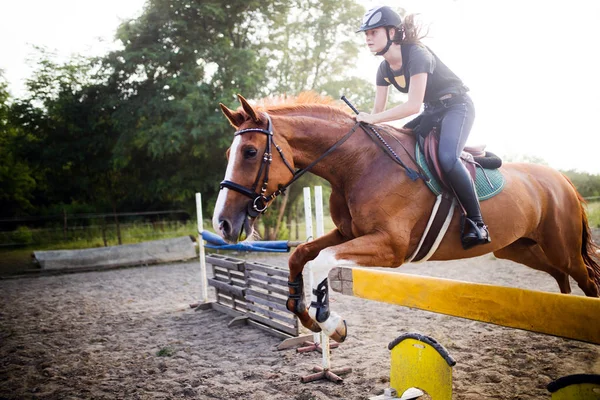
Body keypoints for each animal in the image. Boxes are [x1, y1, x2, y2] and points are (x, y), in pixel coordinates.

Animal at [211, 92, 600, 342]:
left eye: (249, 152)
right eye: (229, 153)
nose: (223, 224)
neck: (357, 164)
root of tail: (561, 179)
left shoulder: (391, 247)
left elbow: (322, 260)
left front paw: (331, 322)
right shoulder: (347, 232)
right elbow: (301, 255)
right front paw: (306, 315)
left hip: (561, 248)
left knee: (586, 281)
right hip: (521, 248)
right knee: (560, 277)